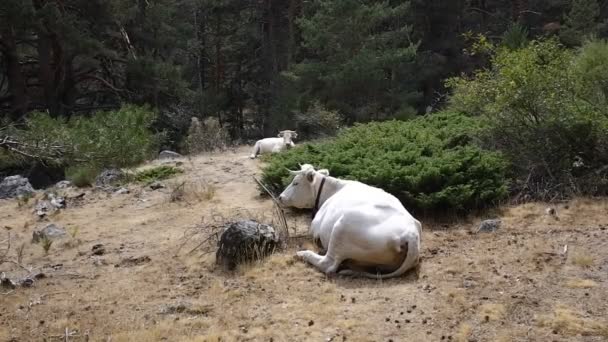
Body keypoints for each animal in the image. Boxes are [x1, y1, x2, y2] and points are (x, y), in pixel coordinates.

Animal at [278, 164, 420, 280]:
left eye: (296, 183)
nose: (280, 197)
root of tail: (411, 233)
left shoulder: (315, 227)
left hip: (342, 227)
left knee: (328, 264)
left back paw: (303, 253)